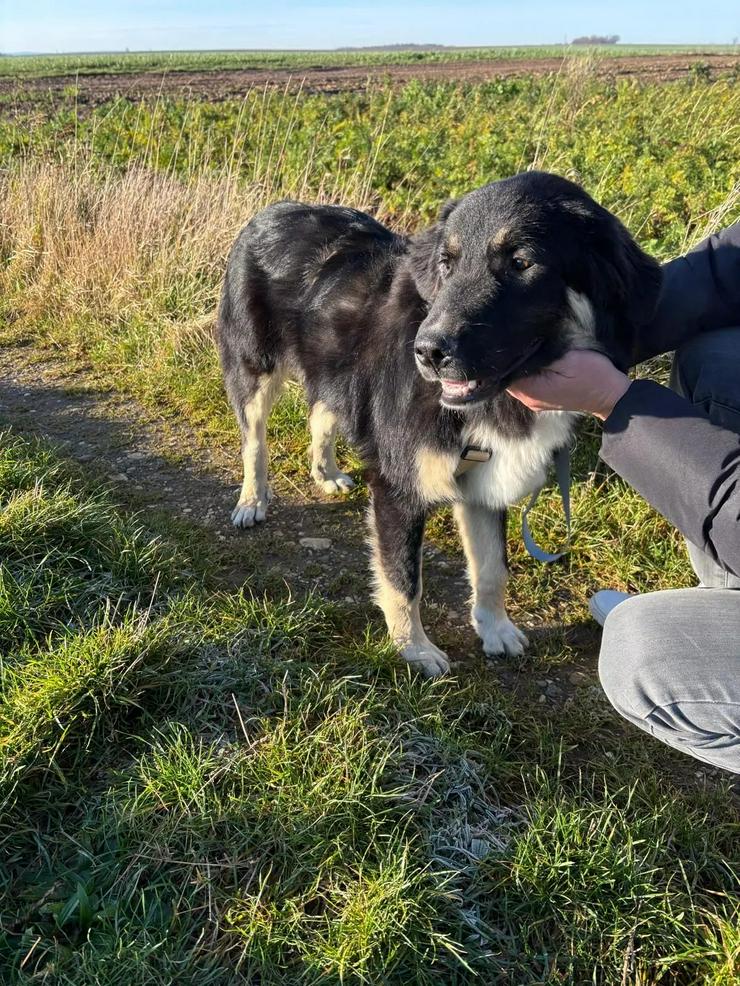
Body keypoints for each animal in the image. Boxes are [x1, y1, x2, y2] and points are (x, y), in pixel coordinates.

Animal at [217, 173, 660, 672]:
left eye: (522, 263)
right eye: (447, 263)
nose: (427, 351)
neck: (493, 402)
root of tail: (273, 210)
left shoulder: (485, 477)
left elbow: (492, 567)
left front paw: (495, 628)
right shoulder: (398, 490)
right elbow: (403, 579)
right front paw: (413, 648)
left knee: (321, 413)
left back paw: (325, 472)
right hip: (254, 368)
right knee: (254, 442)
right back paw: (252, 500)